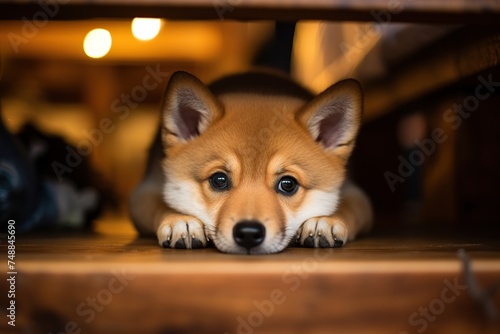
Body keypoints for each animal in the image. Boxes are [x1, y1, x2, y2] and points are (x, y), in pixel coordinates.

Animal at [129, 70, 372, 253]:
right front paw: (181, 220)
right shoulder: (145, 191)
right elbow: (161, 204)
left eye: (288, 184)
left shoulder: (356, 194)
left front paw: (325, 221)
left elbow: (348, 208)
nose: (248, 233)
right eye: (219, 180)